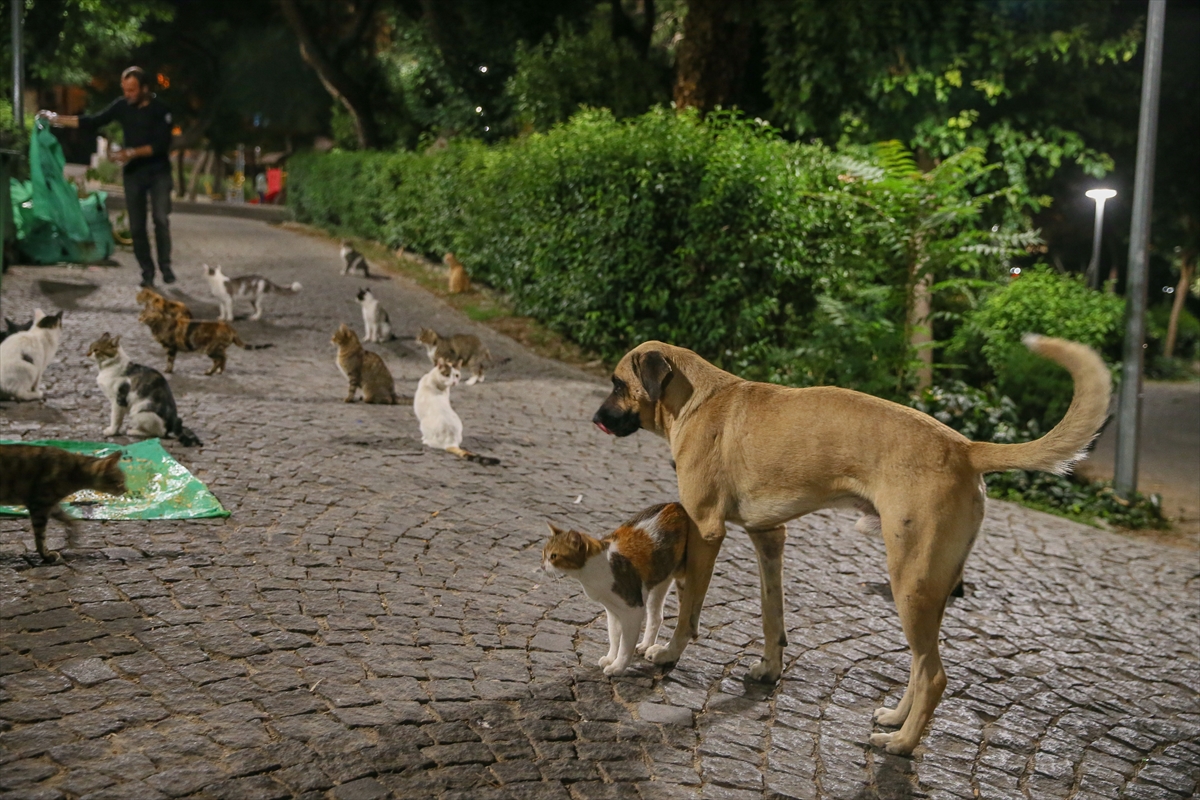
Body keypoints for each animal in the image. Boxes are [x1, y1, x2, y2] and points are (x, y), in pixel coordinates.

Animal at [137, 289, 271, 374]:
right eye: (141, 315)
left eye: (146, 316)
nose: (139, 319)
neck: (157, 326)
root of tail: (230, 328)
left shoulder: (171, 347)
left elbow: (170, 361)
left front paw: (168, 371)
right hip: (217, 348)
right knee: (223, 358)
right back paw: (219, 371)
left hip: (210, 348)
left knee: (220, 359)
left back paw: (210, 372)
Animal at [542, 503, 686, 681]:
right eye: (543, 553)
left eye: (554, 556)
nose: (542, 566)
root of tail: (675, 504)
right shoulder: (612, 610)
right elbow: (614, 637)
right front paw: (611, 658)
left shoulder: (633, 610)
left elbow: (625, 645)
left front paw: (618, 666)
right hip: (659, 580)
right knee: (657, 616)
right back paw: (646, 645)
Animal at [595, 335, 1108, 753]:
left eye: (618, 383)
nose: (596, 418)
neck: (699, 399)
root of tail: (965, 447)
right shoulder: (769, 538)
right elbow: (771, 616)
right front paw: (769, 668)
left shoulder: (706, 530)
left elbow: (689, 610)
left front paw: (667, 653)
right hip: (929, 591)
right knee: (921, 666)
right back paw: (896, 720)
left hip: (910, 583)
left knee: (934, 675)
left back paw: (901, 745)